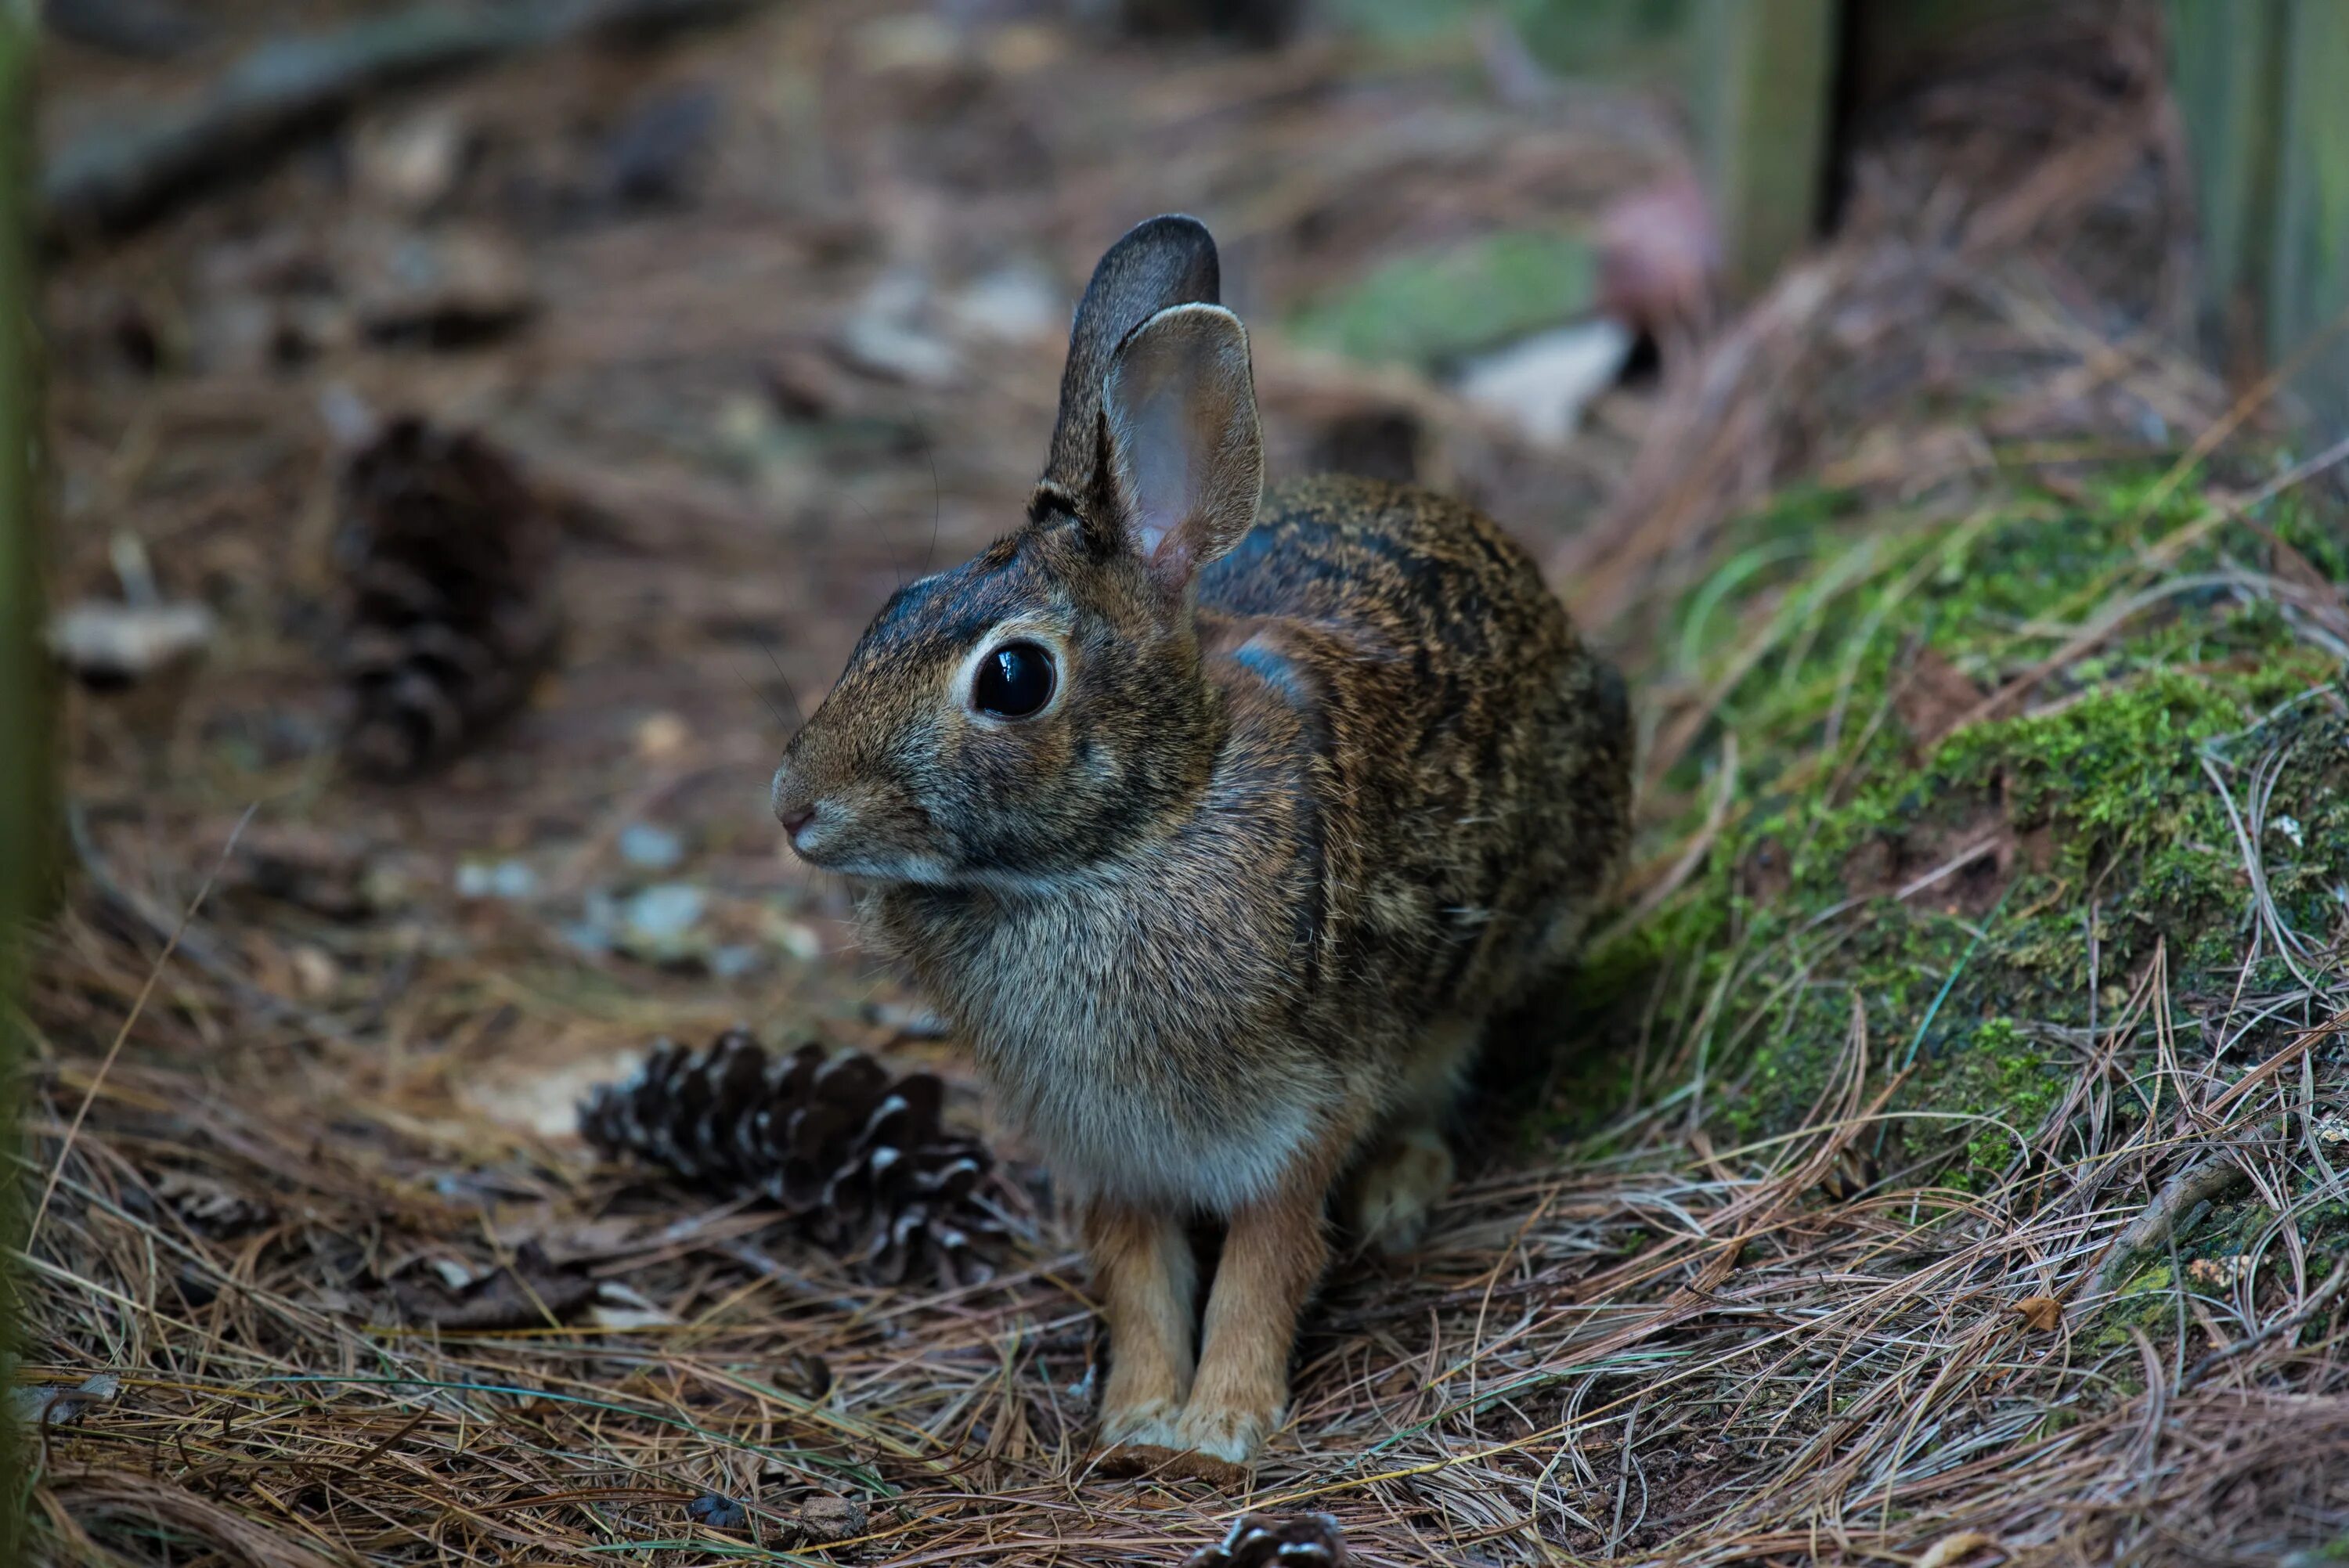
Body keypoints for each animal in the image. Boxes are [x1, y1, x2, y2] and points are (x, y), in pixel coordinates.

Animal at [775, 214, 1635, 1474]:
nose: (795, 806)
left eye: (1014, 677)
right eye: (894, 604)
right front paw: (1138, 1416)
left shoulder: (1301, 1109)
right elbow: (1138, 1274)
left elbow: (1265, 1262)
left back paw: (1398, 1194)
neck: (1129, 841)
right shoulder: (1106, 1151)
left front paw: (1223, 1426)